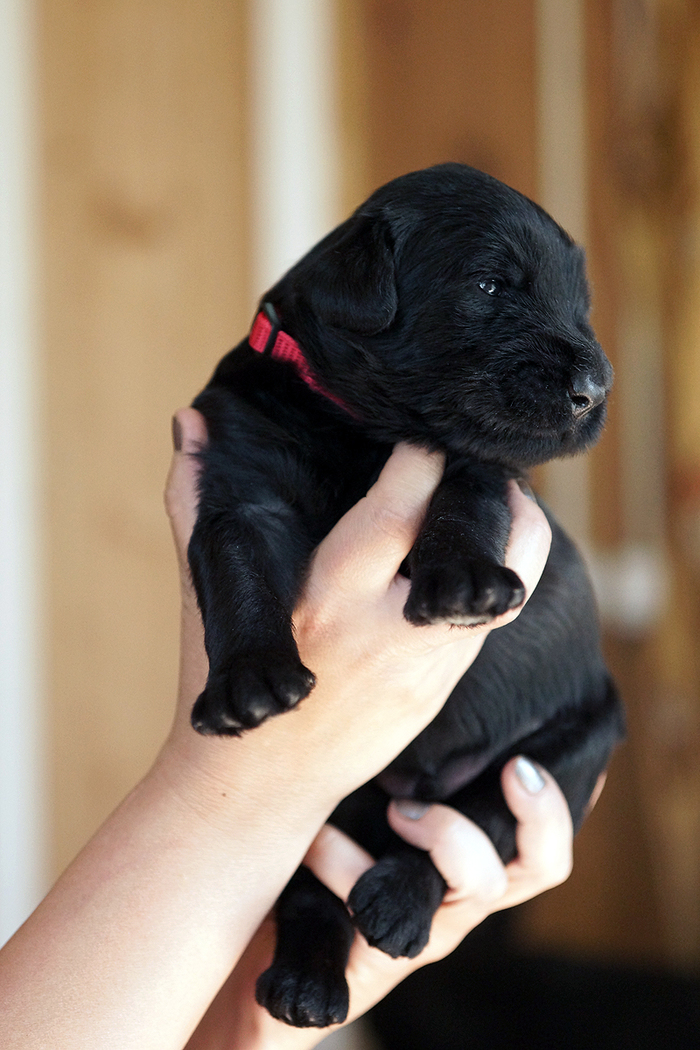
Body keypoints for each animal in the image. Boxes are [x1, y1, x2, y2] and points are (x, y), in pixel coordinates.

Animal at [187, 163, 625, 1024]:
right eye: (489, 285)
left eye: (579, 302)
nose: (597, 389)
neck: (357, 422)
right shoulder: (238, 481)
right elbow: (234, 565)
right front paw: (248, 682)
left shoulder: (482, 464)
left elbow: (464, 499)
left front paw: (462, 583)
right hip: (330, 806)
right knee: (312, 893)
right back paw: (306, 984)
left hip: (572, 746)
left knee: (475, 817)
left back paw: (395, 901)